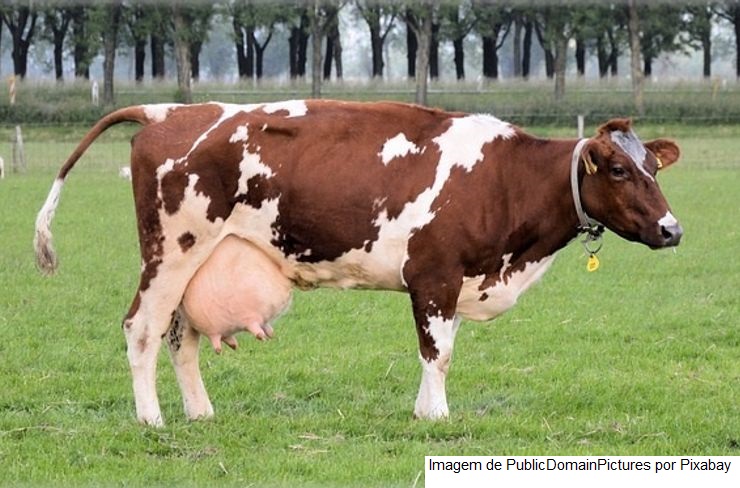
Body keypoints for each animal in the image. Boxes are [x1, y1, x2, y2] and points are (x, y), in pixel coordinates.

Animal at [34, 100, 682, 427]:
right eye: (618, 169)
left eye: (654, 166)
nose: (673, 229)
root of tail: (170, 110)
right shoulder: (435, 275)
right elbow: (437, 353)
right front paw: (436, 417)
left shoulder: (452, 280)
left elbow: (441, 350)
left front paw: (423, 411)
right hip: (170, 250)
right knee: (141, 330)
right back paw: (152, 420)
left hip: (198, 262)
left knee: (181, 336)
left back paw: (201, 413)